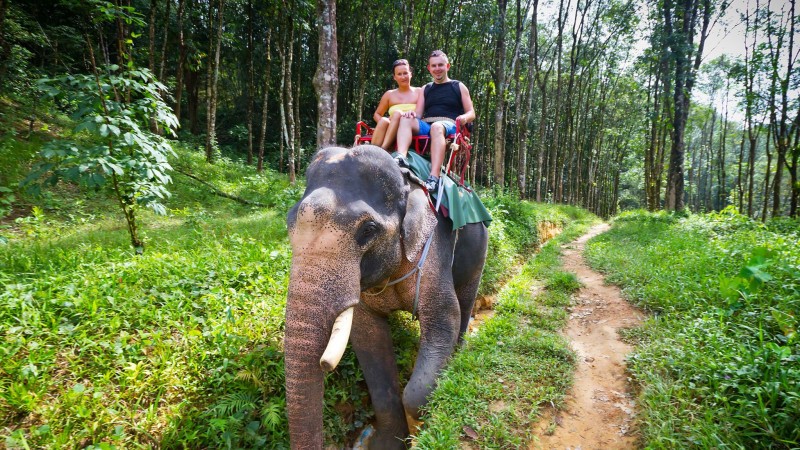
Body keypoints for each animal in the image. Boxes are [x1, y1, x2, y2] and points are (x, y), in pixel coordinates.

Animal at [284, 145, 489, 449]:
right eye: (289, 223)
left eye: (368, 230)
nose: (324, 364)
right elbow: (368, 338)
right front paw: (388, 443)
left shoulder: (433, 248)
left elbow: (445, 317)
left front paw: (423, 424)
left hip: (480, 247)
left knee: (464, 304)